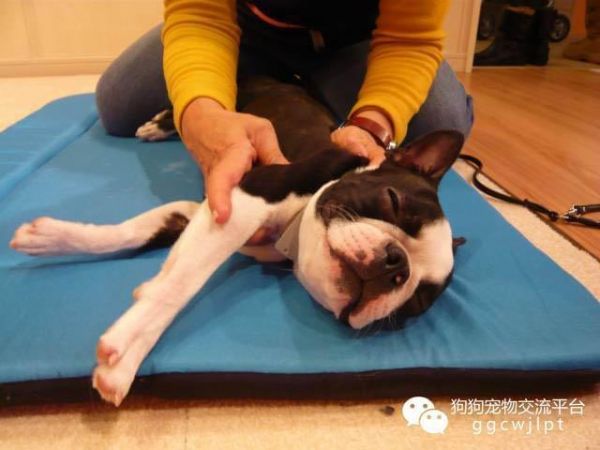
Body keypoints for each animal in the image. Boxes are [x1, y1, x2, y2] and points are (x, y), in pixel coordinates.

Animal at [10, 77, 465, 406]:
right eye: (392, 201)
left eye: (418, 301)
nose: (396, 263)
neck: (292, 234)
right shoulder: (243, 199)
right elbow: (181, 283)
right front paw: (127, 349)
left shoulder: (202, 210)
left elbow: (135, 233)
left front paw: (49, 237)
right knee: (190, 105)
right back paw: (157, 123)